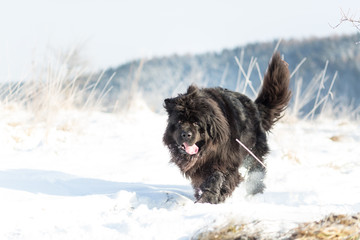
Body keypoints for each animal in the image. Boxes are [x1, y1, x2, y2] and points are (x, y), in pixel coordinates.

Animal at [162, 53, 290, 203]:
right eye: (180, 121)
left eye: (197, 123)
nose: (186, 134)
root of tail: (255, 107)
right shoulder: (200, 167)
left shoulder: (225, 159)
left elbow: (218, 176)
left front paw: (209, 198)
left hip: (253, 151)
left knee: (257, 169)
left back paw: (255, 192)